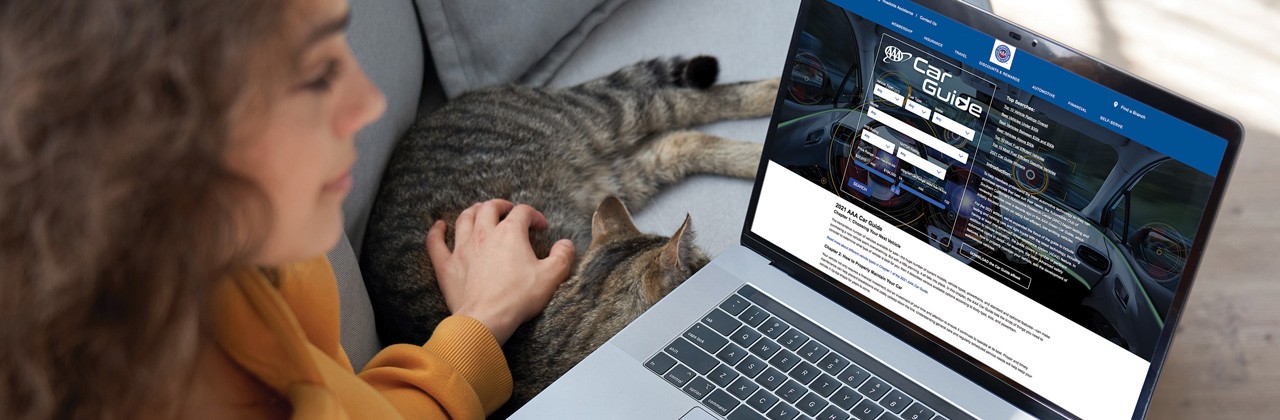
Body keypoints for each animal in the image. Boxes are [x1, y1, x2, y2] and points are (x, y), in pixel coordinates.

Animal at [363, 55, 778, 407]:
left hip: (607, 124)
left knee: (683, 105)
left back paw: (770, 104)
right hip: (622, 165)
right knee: (681, 134)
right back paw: (757, 148)